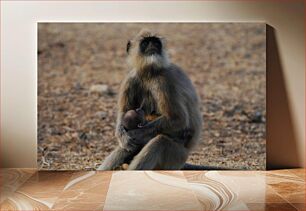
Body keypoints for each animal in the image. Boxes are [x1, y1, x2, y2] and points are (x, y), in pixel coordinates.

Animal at [98, 29, 203, 170]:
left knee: (159, 142)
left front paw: (135, 134)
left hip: (176, 157)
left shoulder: (163, 82)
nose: (153, 46)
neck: (150, 72)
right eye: (146, 42)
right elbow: (124, 112)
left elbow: (178, 119)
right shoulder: (131, 77)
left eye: (156, 42)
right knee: (125, 148)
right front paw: (122, 135)